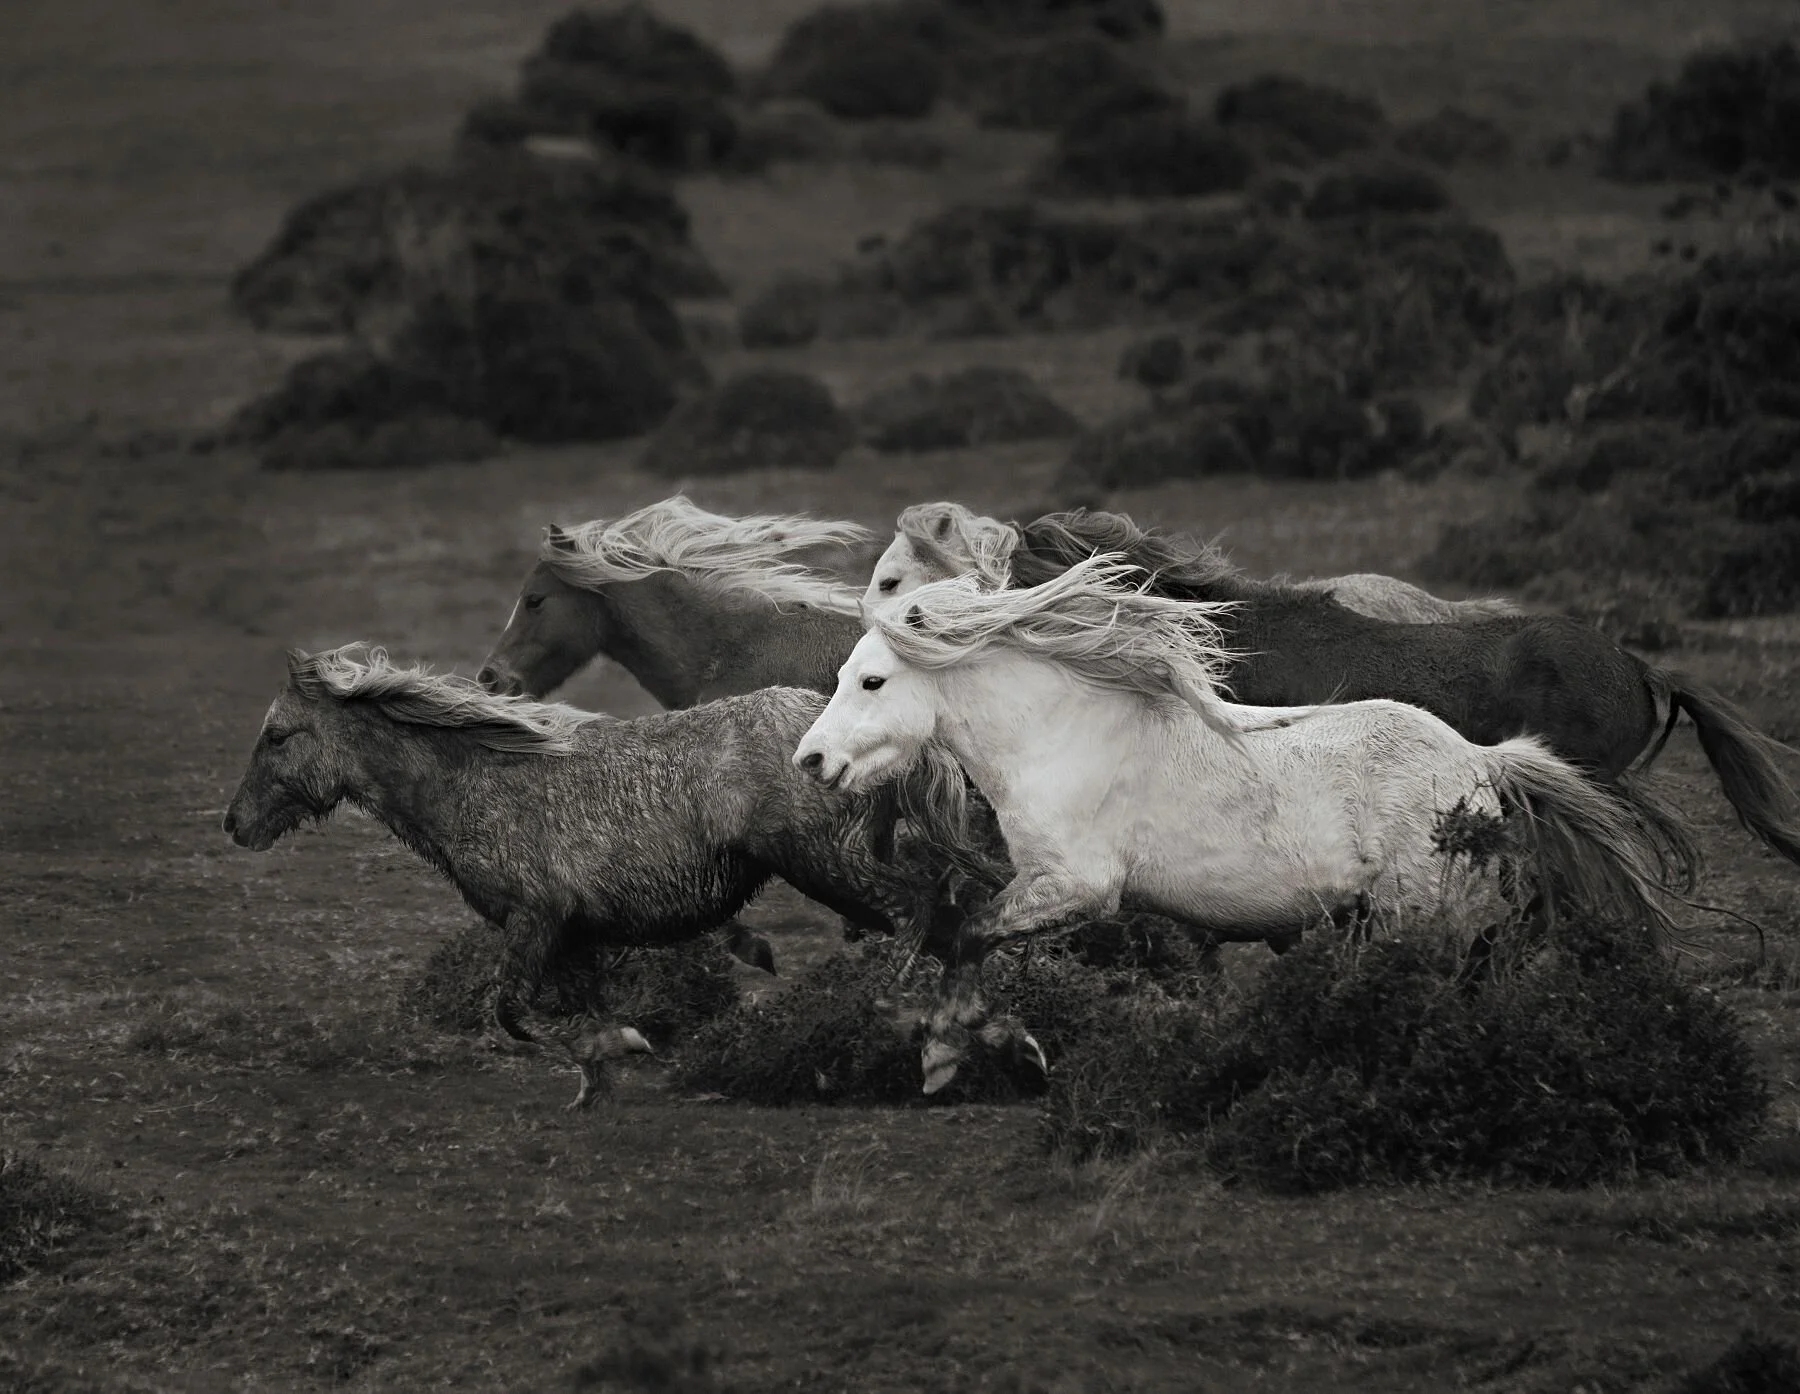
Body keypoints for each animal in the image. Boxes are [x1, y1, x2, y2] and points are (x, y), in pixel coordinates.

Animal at [222, 644, 976, 1109]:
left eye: (278, 736)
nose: (235, 824)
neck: (478, 784)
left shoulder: (534, 921)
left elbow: (513, 1012)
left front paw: (624, 1046)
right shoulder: (572, 937)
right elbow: (569, 1009)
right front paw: (594, 1086)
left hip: (823, 864)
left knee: (917, 907)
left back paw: (897, 1005)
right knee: (943, 921)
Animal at [796, 557, 1679, 1093]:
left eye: (872, 681)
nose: (810, 759)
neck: (1062, 735)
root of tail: (1481, 761)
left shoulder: (1076, 886)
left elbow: (969, 935)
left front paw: (955, 1051)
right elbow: (967, 935)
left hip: (1422, 913)